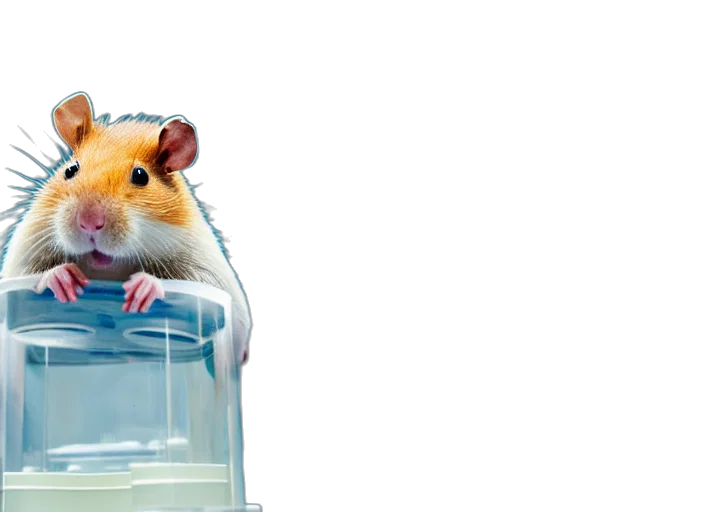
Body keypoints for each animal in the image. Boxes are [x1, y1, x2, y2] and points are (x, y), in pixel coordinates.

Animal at [0, 92, 251, 365]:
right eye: (70, 170)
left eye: (140, 176)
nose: (89, 221)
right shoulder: (25, 253)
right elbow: (29, 275)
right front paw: (65, 279)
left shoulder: (209, 273)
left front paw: (140, 289)